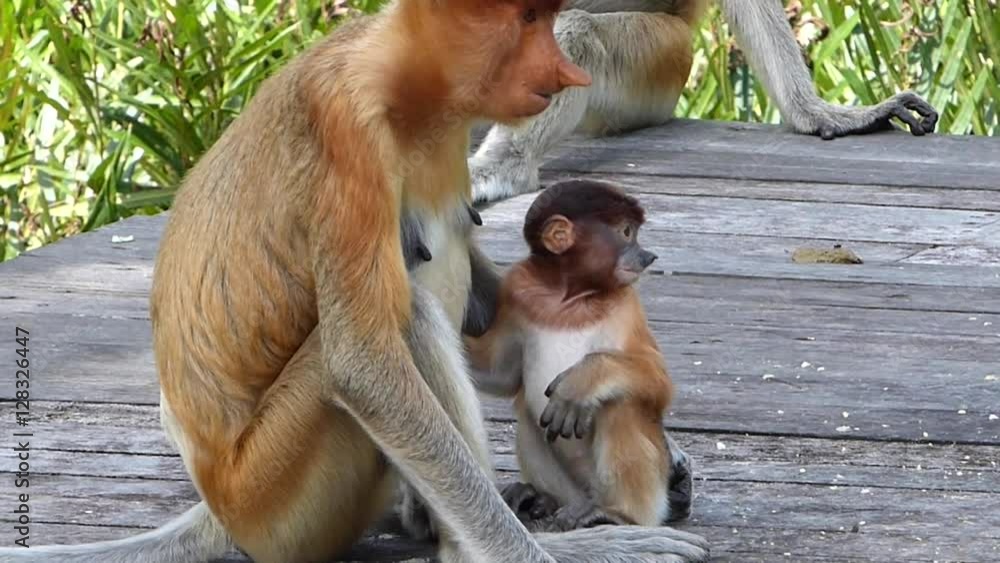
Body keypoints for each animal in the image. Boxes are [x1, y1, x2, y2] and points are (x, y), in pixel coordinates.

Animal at [465, 179, 685, 532]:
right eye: (626, 232)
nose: (648, 256)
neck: (568, 299)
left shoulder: (626, 304)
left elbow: (659, 383)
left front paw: (580, 384)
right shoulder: (518, 290)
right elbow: (501, 374)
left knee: (619, 405)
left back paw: (618, 514)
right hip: (572, 486)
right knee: (527, 410)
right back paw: (540, 499)